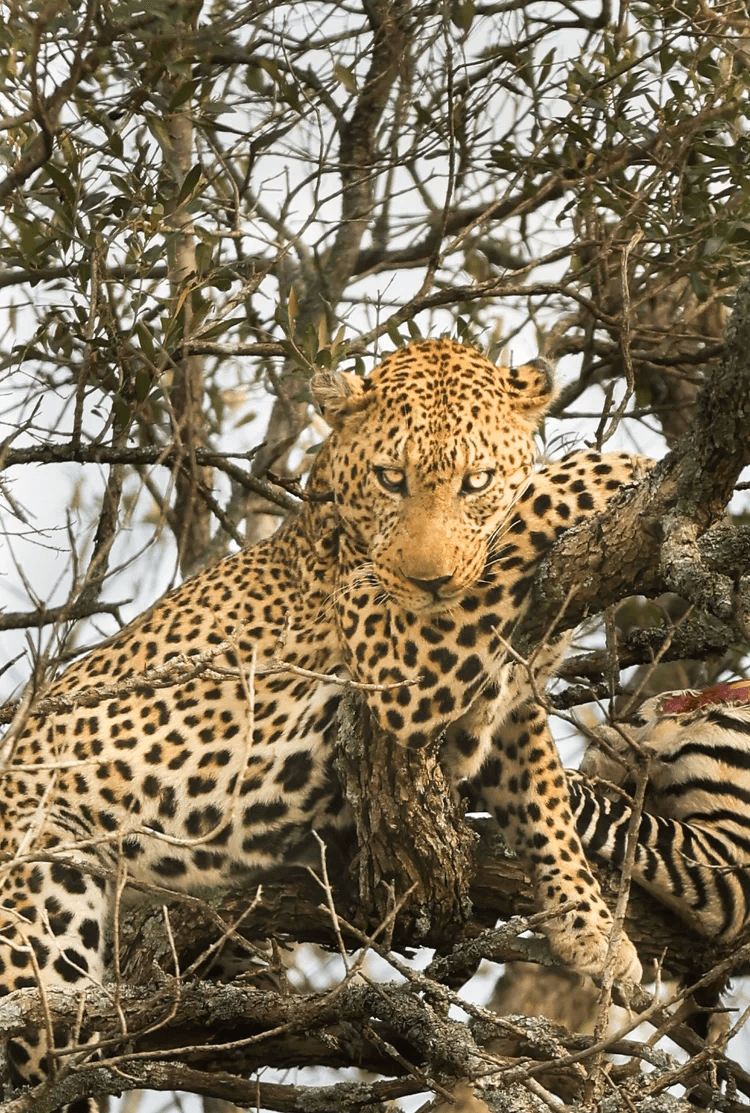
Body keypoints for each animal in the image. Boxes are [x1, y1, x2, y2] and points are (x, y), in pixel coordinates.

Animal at [0, 337, 648, 1104]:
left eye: (476, 479)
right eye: (392, 478)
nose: (429, 580)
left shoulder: (495, 709)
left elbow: (542, 791)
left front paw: (592, 928)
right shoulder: (399, 656)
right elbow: (513, 533)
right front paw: (614, 467)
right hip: (41, 899)